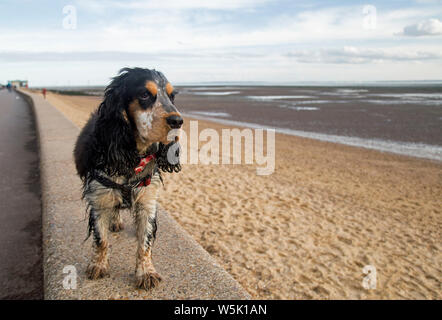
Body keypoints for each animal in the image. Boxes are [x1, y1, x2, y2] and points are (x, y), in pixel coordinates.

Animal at [74, 67, 183, 290]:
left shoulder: (147, 200)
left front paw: (146, 272)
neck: (131, 156)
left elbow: (145, 243)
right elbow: (101, 239)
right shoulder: (98, 198)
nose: (177, 121)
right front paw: (98, 266)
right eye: (144, 94)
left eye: (172, 96)